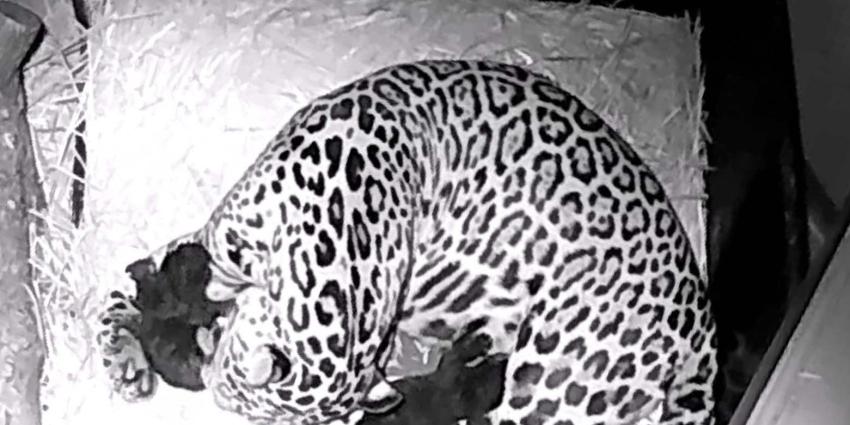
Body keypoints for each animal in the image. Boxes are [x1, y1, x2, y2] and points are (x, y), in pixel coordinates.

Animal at [95, 59, 717, 425]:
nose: (211, 385)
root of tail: (700, 320)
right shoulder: (210, 245)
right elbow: (123, 292)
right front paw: (124, 352)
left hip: (555, 385)